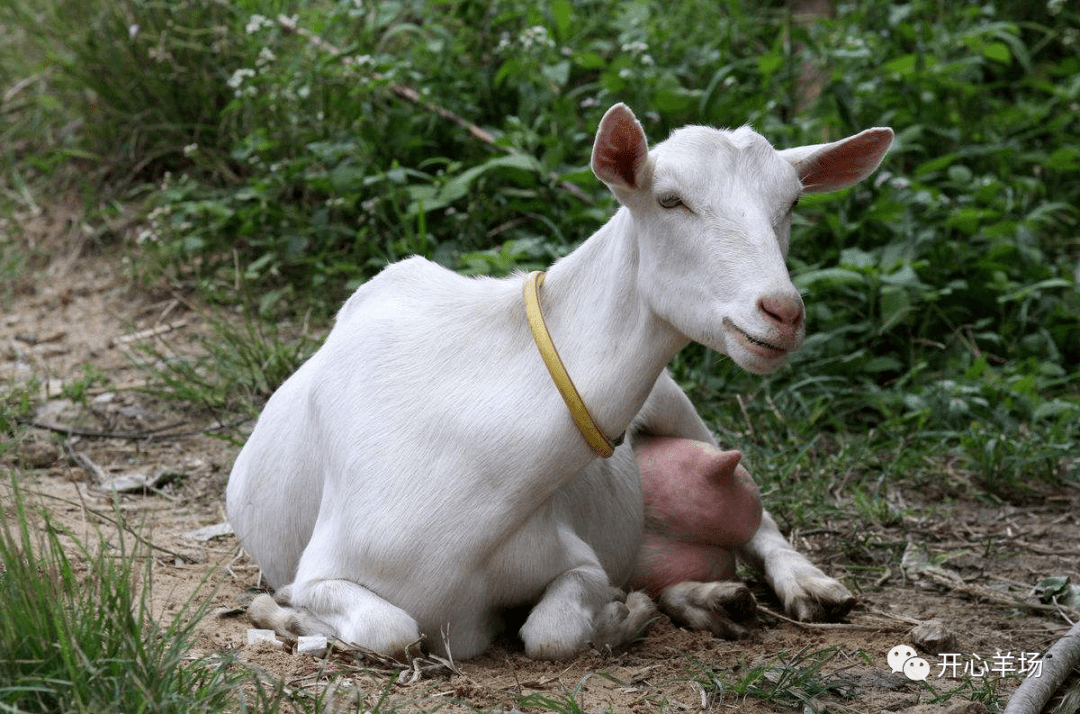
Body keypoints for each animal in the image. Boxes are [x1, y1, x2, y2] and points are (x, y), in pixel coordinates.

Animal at [223, 103, 889, 661]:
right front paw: (281, 614)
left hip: (676, 402)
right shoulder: (322, 568)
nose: (781, 312)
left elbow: (553, 631)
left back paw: (808, 587)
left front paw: (622, 614)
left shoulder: (575, 560)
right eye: (670, 200)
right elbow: (390, 629)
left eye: (792, 204)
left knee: (758, 517)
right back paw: (709, 600)